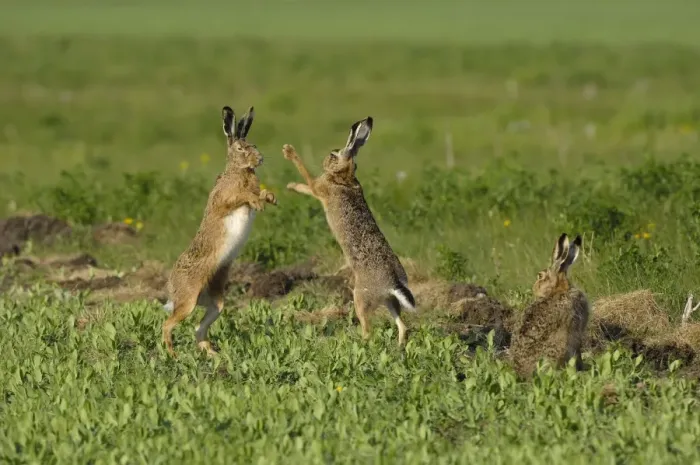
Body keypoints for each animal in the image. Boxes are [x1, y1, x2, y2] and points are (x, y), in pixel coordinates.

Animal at [162, 105, 277, 357]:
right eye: (241, 148)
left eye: (254, 145)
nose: (260, 159)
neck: (239, 171)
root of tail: (171, 289)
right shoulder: (224, 200)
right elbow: (242, 196)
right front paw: (257, 201)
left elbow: (260, 194)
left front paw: (270, 198)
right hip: (187, 301)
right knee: (168, 324)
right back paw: (173, 356)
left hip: (216, 304)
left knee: (198, 329)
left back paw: (214, 355)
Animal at [281, 117, 416, 347]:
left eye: (333, 155)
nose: (325, 161)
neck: (344, 177)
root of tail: (392, 284)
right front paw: (291, 185)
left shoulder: (319, 188)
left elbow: (307, 178)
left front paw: (289, 154)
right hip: (389, 301)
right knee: (402, 326)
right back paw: (399, 348)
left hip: (360, 298)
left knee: (368, 329)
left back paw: (358, 343)